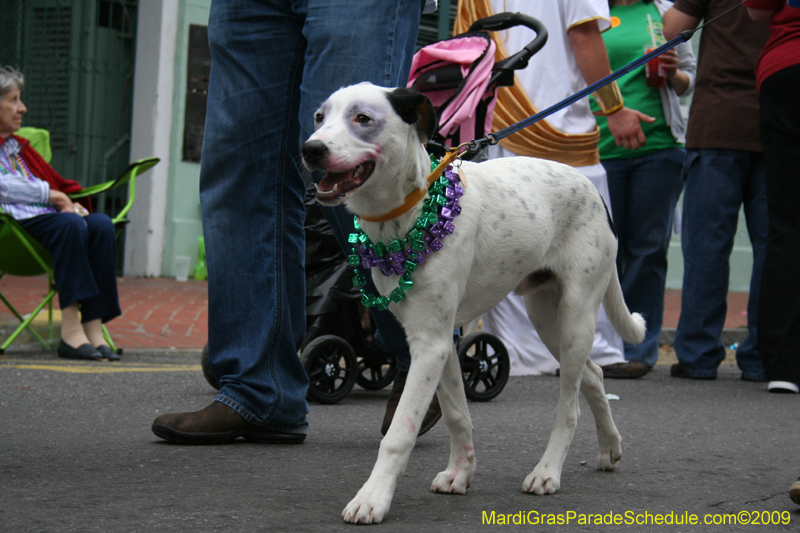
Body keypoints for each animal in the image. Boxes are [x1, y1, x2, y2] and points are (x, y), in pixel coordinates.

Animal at [304, 83, 648, 524]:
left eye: (363, 118)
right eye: (319, 117)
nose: (311, 149)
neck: (411, 211)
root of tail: (594, 193)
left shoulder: (430, 344)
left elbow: (399, 433)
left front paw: (373, 497)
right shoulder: (442, 342)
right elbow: (456, 414)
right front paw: (460, 472)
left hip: (576, 316)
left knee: (569, 406)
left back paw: (547, 472)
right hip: (546, 316)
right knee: (593, 375)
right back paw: (609, 446)